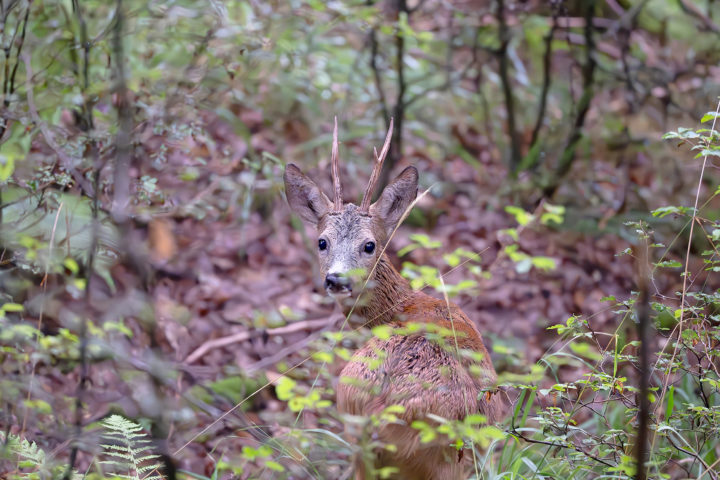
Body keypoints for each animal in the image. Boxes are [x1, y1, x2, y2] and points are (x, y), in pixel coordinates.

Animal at [284, 118, 504, 478]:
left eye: (369, 244)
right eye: (322, 241)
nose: (336, 279)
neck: (403, 308)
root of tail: (383, 404)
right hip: (444, 456)